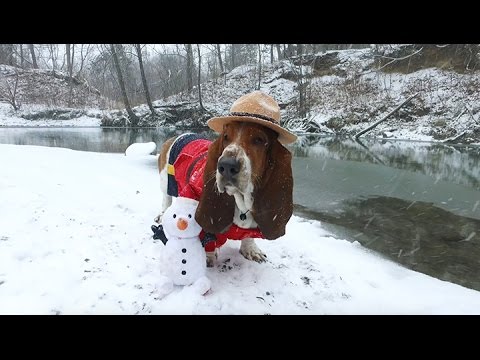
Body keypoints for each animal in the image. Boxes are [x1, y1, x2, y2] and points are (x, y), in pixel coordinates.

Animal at [155, 91, 296, 266]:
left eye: (259, 140)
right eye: (226, 137)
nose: (226, 166)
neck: (242, 203)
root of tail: (179, 135)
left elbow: (248, 235)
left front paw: (250, 250)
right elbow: (205, 236)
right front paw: (206, 256)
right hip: (165, 181)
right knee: (166, 198)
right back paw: (163, 215)